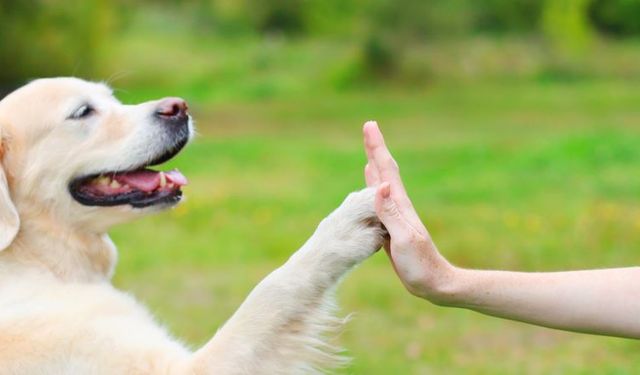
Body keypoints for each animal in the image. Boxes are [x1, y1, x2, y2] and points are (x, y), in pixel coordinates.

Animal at [0, 78, 384, 374]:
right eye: (83, 112)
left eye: (113, 99)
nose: (178, 107)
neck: (36, 259)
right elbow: (273, 290)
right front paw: (344, 227)